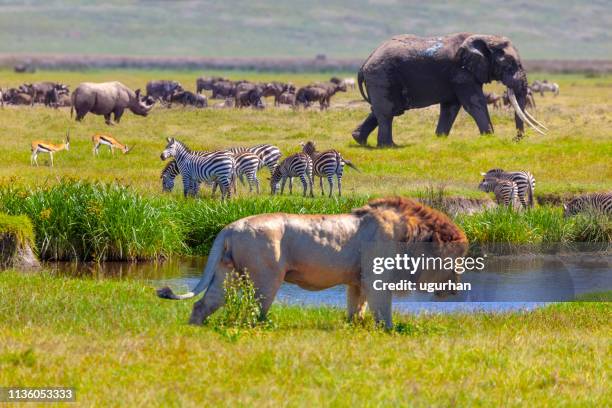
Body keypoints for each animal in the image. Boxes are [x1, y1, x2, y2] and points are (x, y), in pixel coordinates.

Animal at [352, 32, 548, 147]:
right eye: (510, 65)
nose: (516, 139)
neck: (484, 38)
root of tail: (364, 64)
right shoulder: (461, 73)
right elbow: (474, 103)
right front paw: (489, 138)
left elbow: (451, 107)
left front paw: (439, 139)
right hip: (381, 75)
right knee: (387, 112)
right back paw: (388, 146)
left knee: (383, 110)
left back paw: (359, 140)